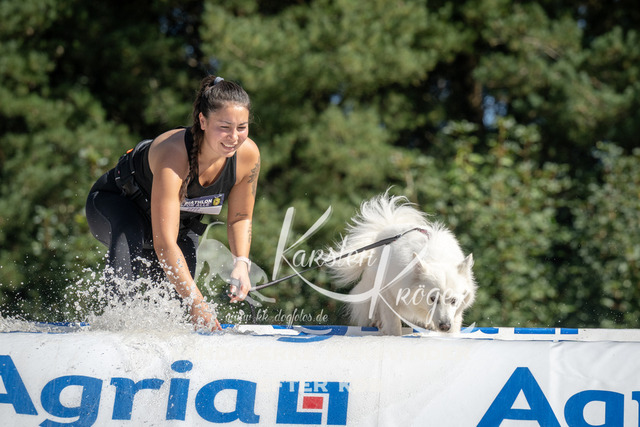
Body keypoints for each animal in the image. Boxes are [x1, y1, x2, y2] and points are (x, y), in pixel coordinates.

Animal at [327, 193, 476, 335]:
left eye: (454, 301)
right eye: (432, 298)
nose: (445, 326)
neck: (436, 259)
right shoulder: (388, 294)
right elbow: (393, 323)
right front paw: (395, 336)